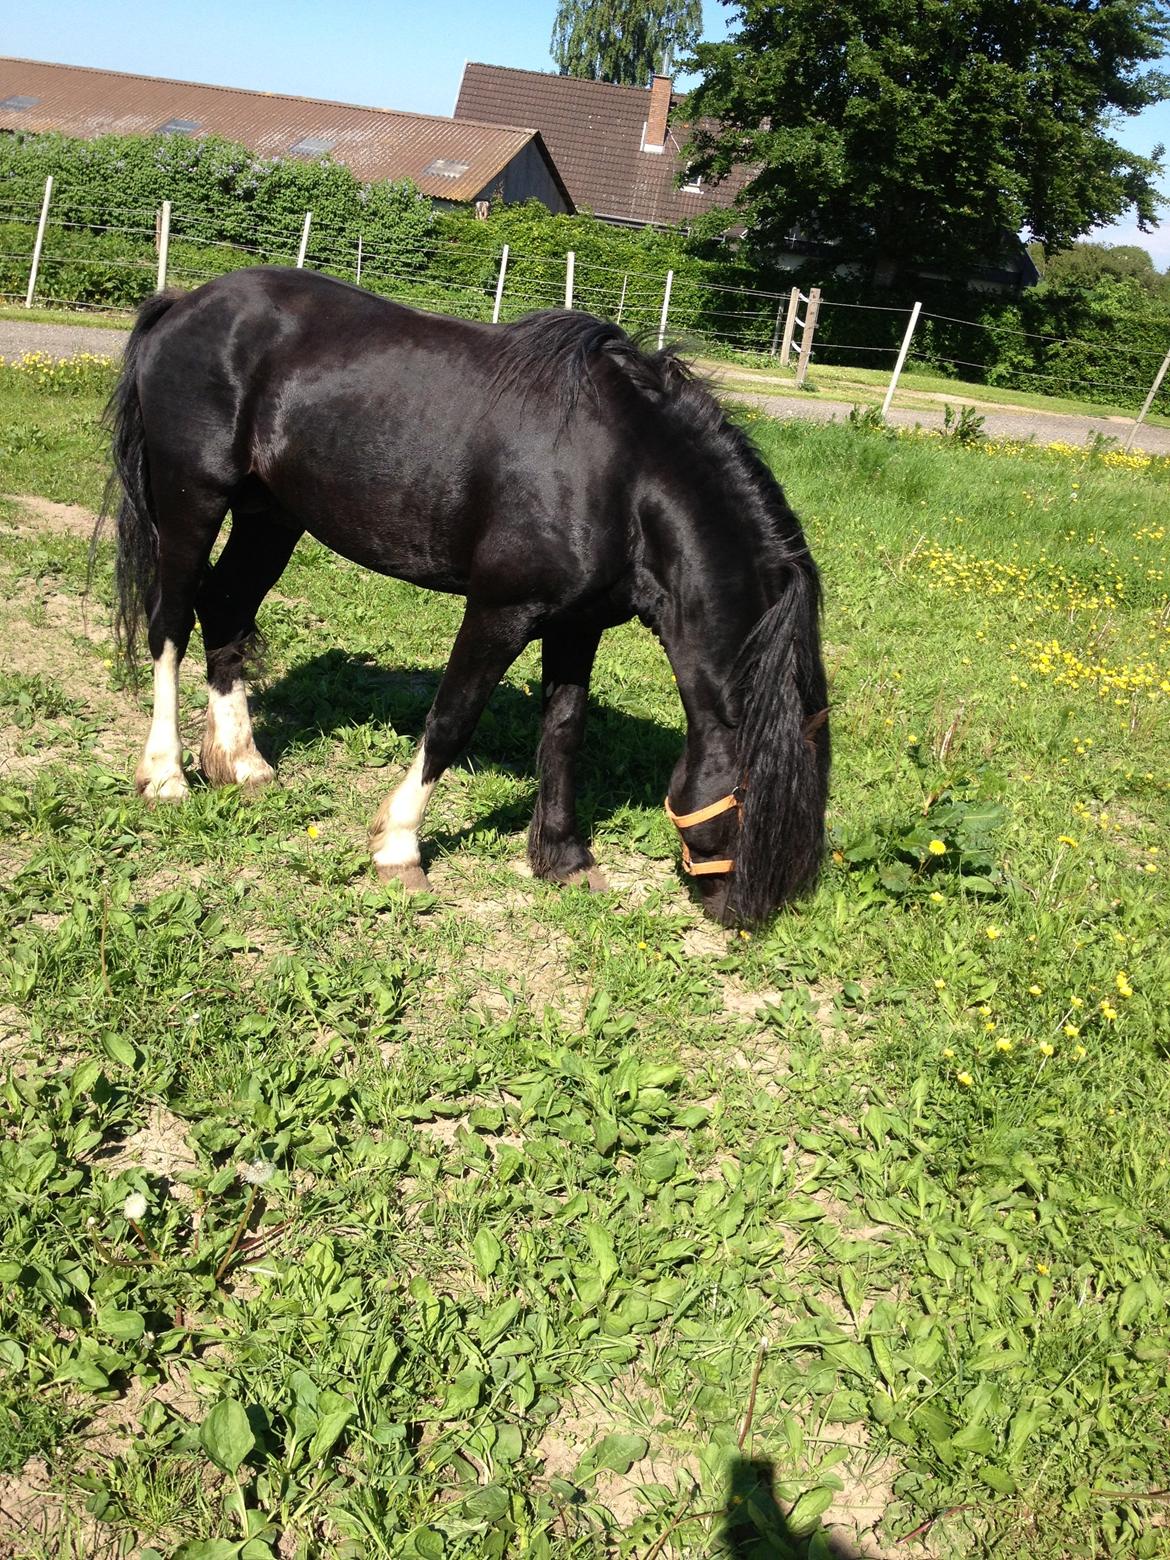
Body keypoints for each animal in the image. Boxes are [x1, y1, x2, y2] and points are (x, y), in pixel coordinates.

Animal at [102, 265, 836, 923]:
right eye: (754, 798)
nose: (741, 912)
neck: (620, 473)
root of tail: (185, 303)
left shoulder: (578, 624)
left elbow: (564, 733)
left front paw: (564, 859)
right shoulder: (499, 611)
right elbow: (452, 720)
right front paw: (399, 848)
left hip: (271, 516)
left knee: (225, 607)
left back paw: (240, 764)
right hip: (193, 500)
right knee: (169, 622)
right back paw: (165, 775)